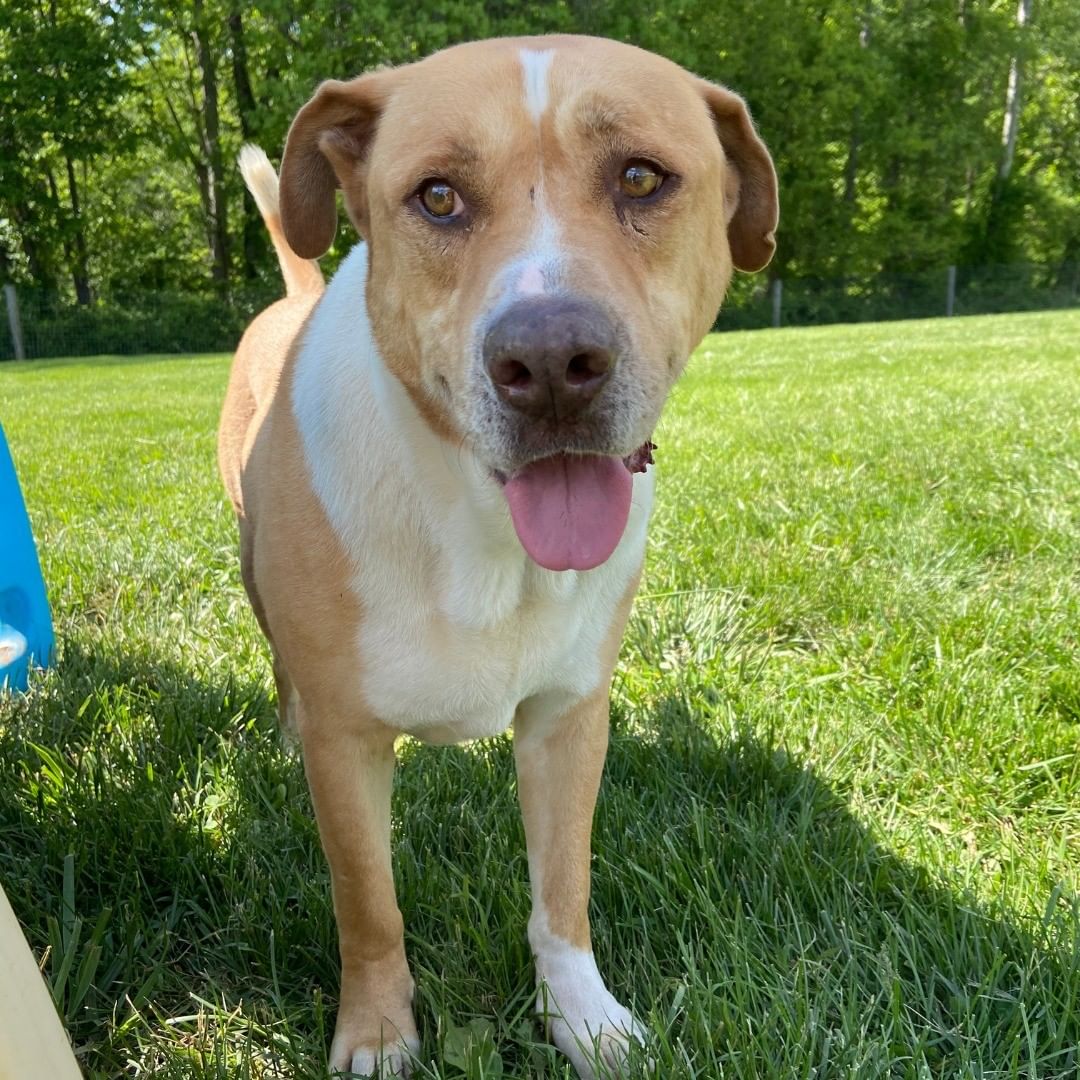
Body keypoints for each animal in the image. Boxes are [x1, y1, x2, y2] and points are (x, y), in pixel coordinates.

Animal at [219, 33, 777, 1080]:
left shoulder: (570, 715)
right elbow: (368, 904)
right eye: (437, 196)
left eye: (642, 177)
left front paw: (584, 1018)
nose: (552, 362)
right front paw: (378, 1034)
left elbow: (563, 890)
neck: (481, 530)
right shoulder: (347, 743)